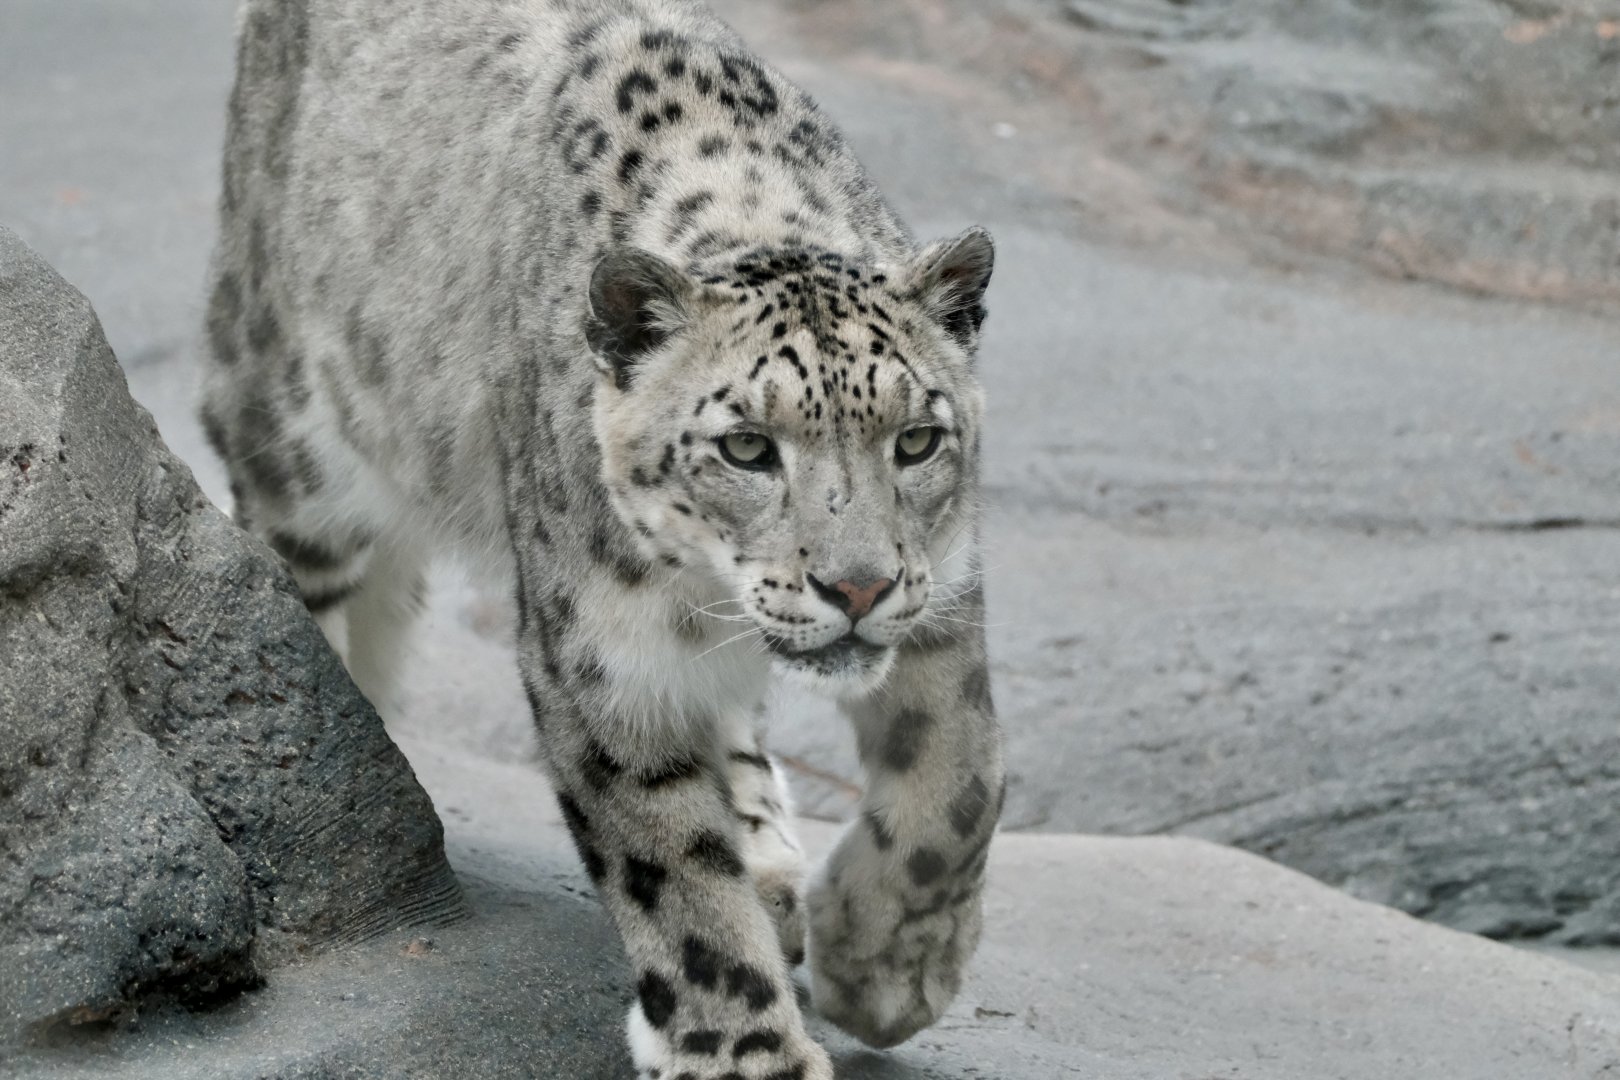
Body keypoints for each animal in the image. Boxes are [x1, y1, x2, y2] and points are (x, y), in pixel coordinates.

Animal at [199, 0, 1005, 1075]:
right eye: (747, 447)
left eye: (915, 439)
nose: (859, 589)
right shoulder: (603, 653)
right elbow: (671, 860)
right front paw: (742, 1050)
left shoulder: (944, 595)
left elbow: (959, 777)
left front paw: (882, 973)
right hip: (293, 437)